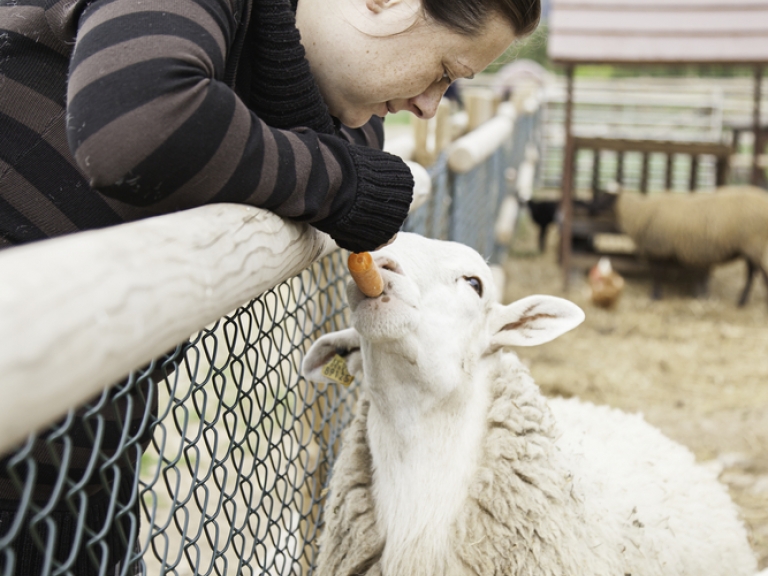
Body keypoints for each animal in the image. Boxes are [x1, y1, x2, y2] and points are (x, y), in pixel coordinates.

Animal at [616, 188, 768, 306]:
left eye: (609, 197)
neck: (638, 213)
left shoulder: (659, 249)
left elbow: (657, 273)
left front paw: (655, 295)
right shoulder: (661, 251)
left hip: (754, 244)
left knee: (756, 272)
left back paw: (743, 301)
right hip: (752, 248)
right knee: (755, 272)